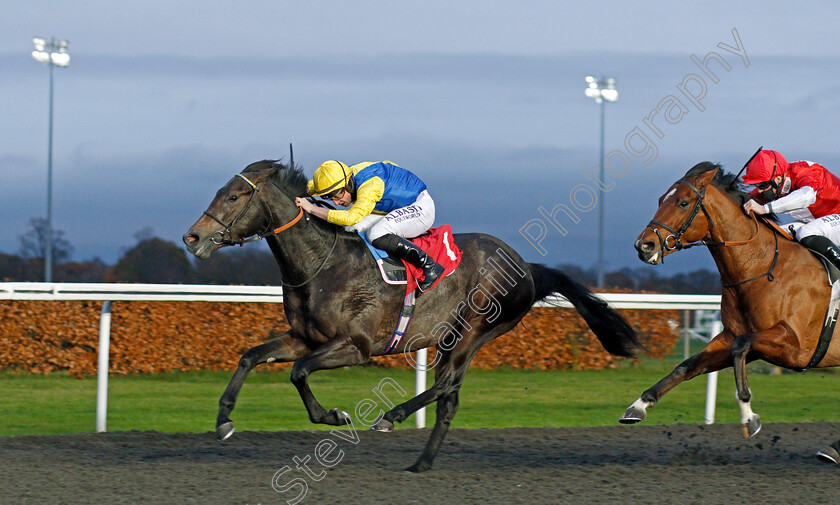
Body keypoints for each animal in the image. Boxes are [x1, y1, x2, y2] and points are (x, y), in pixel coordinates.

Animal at [185, 160, 644, 472]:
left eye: (233, 197)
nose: (193, 237)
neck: (322, 265)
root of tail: (527, 266)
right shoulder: (305, 338)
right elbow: (250, 356)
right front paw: (224, 422)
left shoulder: (356, 346)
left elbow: (298, 372)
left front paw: (334, 415)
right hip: (451, 336)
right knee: (449, 399)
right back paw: (421, 463)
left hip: (476, 329)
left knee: (446, 384)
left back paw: (392, 417)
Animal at [620, 160, 840, 460]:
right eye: (660, 199)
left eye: (683, 202)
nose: (644, 245)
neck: (761, 268)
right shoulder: (733, 337)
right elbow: (687, 365)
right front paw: (639, 405)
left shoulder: (794, 346)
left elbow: (740, 346)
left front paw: (749, 416)